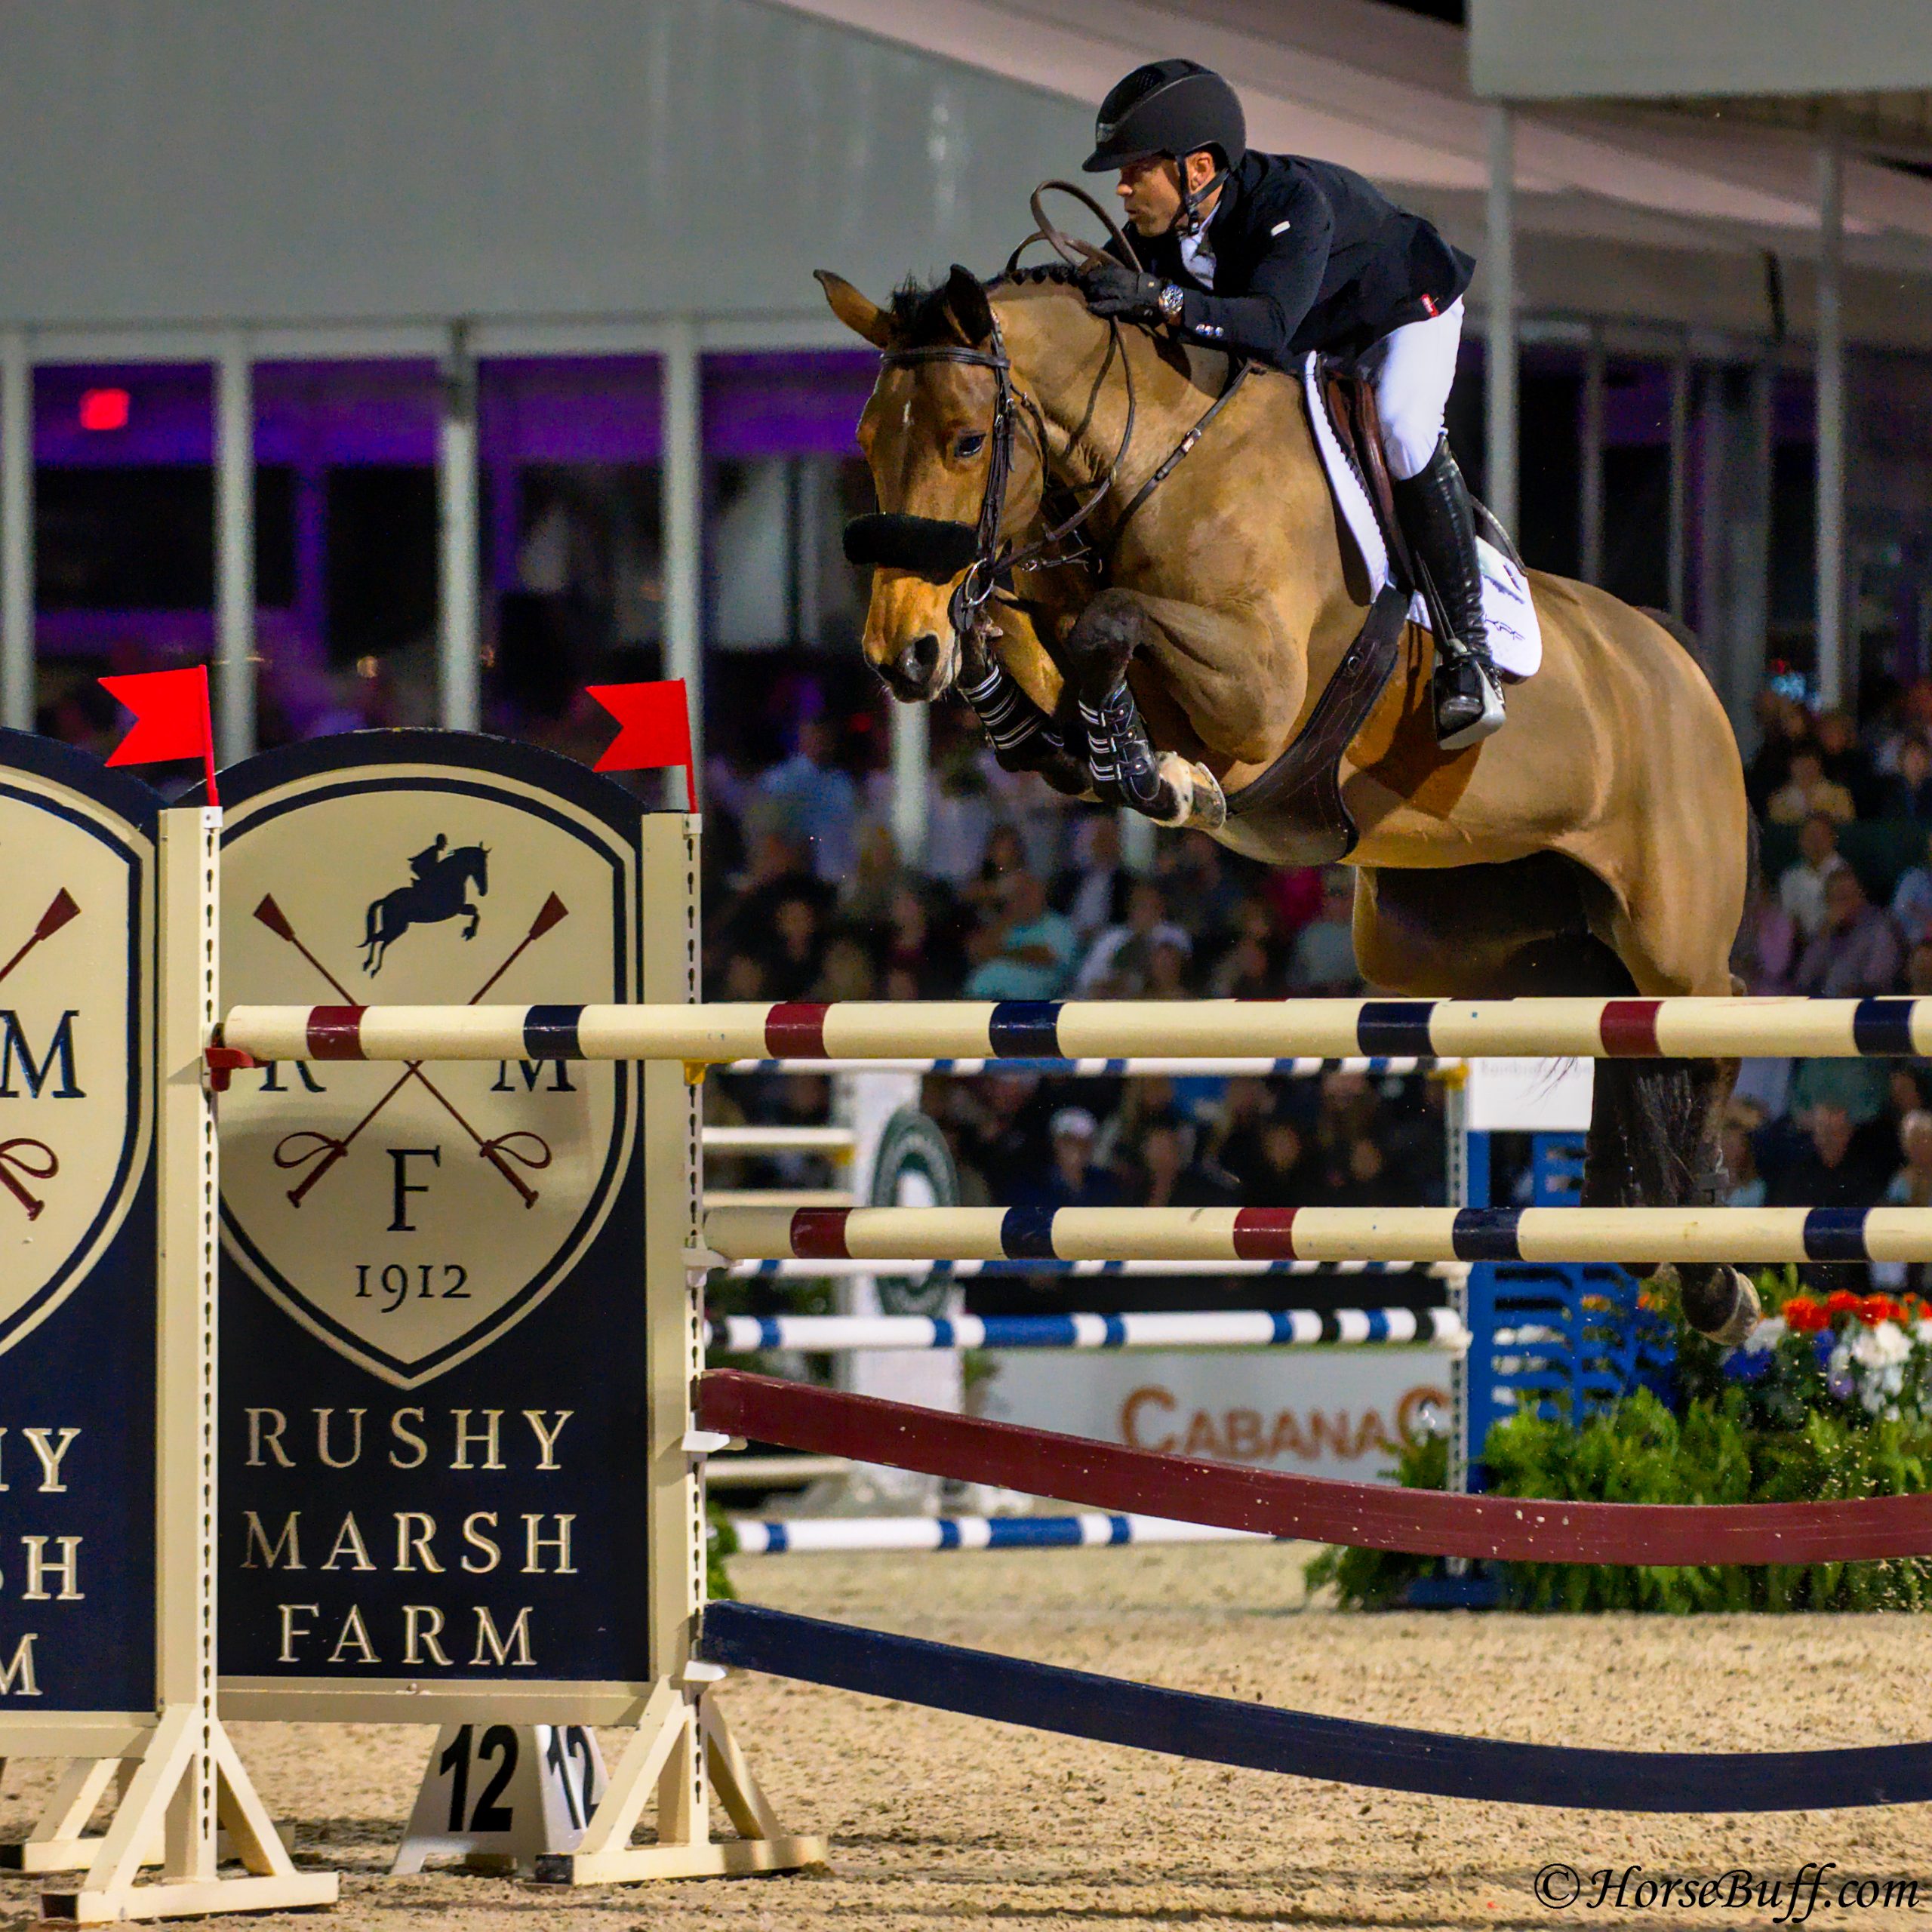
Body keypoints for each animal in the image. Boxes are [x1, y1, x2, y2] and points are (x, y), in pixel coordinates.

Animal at [363, 846, 491, 974]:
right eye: (478, 865)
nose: (484, 891)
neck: (450, 880)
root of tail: (385, 900)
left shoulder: (458, 909)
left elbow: (475, 911)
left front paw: (468, 932)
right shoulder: (455, 909)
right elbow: (475, 911)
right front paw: (469, 932)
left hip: (397, 928)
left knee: (380, 941)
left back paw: (371, 966)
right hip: (395, 927)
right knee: (378, 940)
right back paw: (371, 966)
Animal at [815, 260, 1769, 1344]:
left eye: (967, 440)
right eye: (867, 440)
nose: (899, 652)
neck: (1157, 463)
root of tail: (1676, 658)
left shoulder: (1257, 691)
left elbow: (1110, 623)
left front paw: (1158, 775)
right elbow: (1047, 646)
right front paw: (1042, 710)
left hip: (1668, 927)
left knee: (1713, 1018)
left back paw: (1713, 1274)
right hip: (1455, 943)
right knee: (1618, 1026)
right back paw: (1637, 1223)